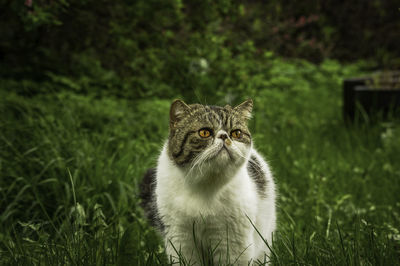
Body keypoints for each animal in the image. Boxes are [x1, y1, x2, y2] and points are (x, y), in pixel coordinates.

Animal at [139, 98, 276, 264]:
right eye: (204, 132)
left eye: (236, 133)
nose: (224, 136)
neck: (205, 185)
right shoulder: (180, 238)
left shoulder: (232, 243)